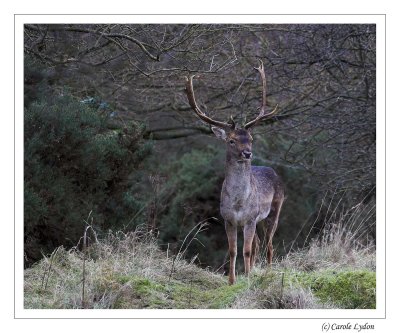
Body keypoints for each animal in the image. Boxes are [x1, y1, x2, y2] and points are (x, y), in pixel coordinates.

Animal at [184, 60, 284, 282]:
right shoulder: (228, 219)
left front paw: (245, 279)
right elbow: (233, 250)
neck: (239, 203)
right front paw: (232, 281)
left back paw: (268, 273)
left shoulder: (249, 217)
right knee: (258, 244)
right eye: (231, 140)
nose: (247, 153)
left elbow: (245, 250)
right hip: (258, 220)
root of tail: (275, 173)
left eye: (251, 139)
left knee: (269, 245)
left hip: (274, 210)